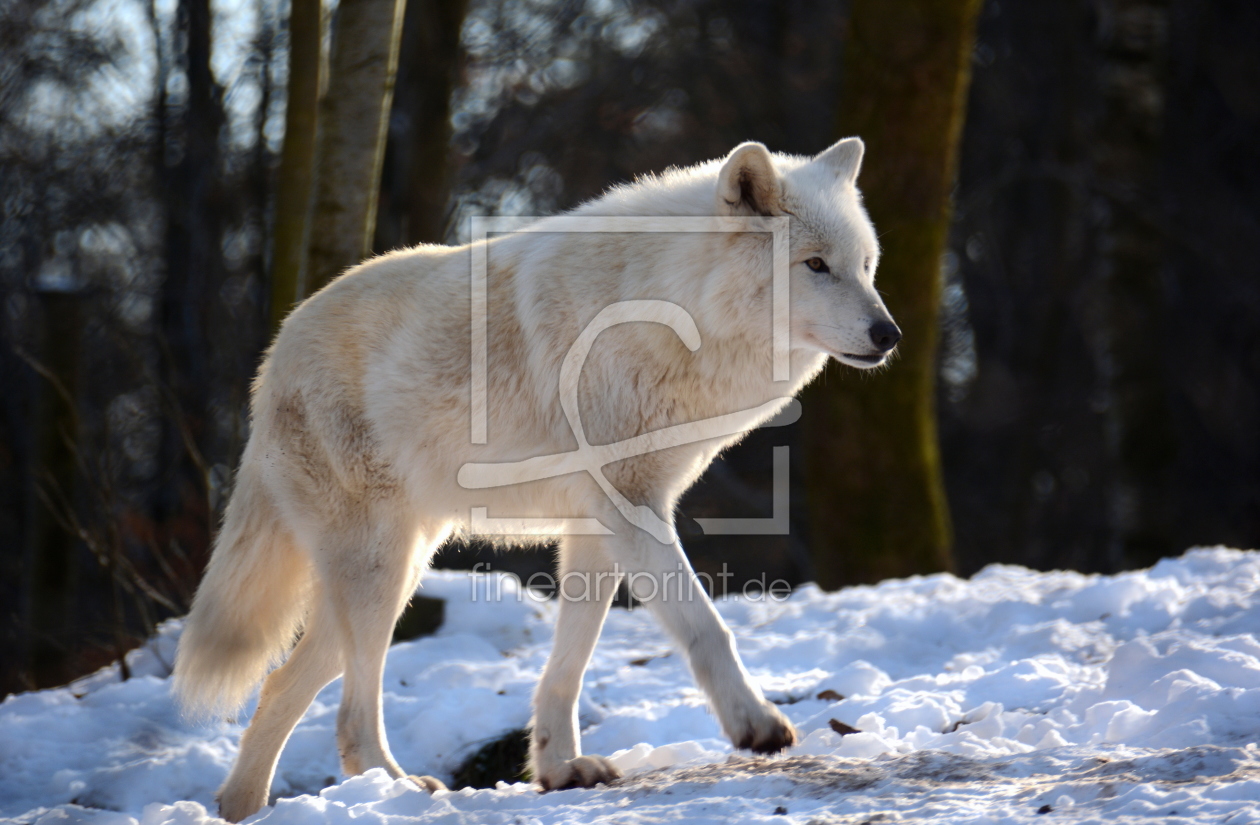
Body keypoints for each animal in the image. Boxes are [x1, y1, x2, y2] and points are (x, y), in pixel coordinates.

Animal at [172, 137, 902, 821]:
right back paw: (397, 787)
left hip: (393, 576)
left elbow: (569, 663)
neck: (669, 309)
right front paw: (756, 724)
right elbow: (706, 626)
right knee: (349, 715)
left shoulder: (597, 524)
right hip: (380, 574)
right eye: (815, 265)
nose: (889, 333)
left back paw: (241, 807)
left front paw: (559, 767)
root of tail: (274, 357)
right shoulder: (631, 505)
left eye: (866, 267)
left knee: (280, 688)